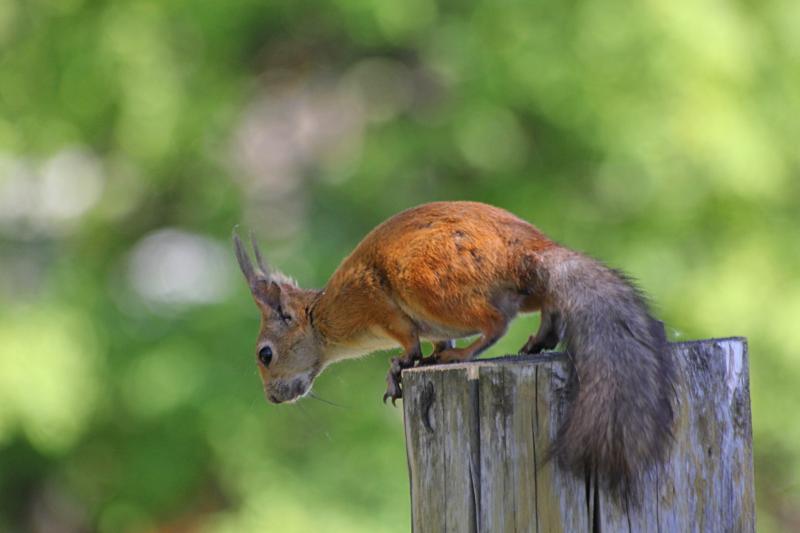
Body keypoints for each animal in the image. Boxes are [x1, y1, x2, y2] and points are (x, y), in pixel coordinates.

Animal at [231, 200, 676, 498]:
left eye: (265, 354)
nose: (273, 399)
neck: (324, 316)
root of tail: (525, 249)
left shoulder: (379, 307)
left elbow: (409, 340)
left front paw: (401, 365)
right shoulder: (429, 327)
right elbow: (434, 338)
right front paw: (419, 360)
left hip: (428, 281)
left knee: (495, 322)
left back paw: (462, 356)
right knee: (548, 304)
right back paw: (538, 340)